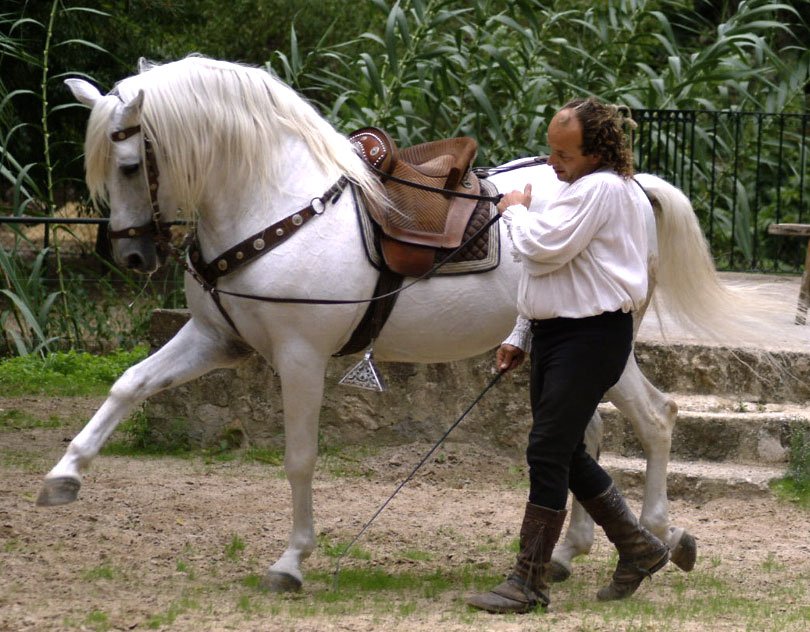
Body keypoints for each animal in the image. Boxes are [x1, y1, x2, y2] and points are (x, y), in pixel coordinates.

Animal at [39, 56, 772, 593]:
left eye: (129, 165)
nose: (133, 256)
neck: (278, 203)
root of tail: (632, 185)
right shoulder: (217, 340)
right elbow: (130, 384)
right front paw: (65, 475)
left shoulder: (300, 357)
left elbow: (299, 458)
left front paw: (292, 561)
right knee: (587, 434)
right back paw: (572, 554)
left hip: (605, 351)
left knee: (655, 418)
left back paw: (657, 539)